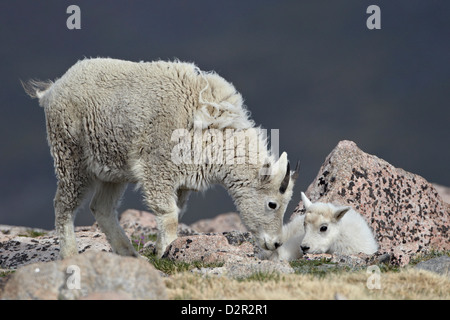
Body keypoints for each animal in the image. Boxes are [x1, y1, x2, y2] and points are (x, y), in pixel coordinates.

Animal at [23, 57, 298, 258]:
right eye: (272, 204)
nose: (275, 244)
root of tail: (52, 90)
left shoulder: (183, 181)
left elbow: (176, 212)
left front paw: (162, 251)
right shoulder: (158, 167)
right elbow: (168, 215)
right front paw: (166, 252)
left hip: (112, 167)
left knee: (101, 207)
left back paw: (129, 254)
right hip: (69, 153)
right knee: (63, 204)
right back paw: (70, 254)